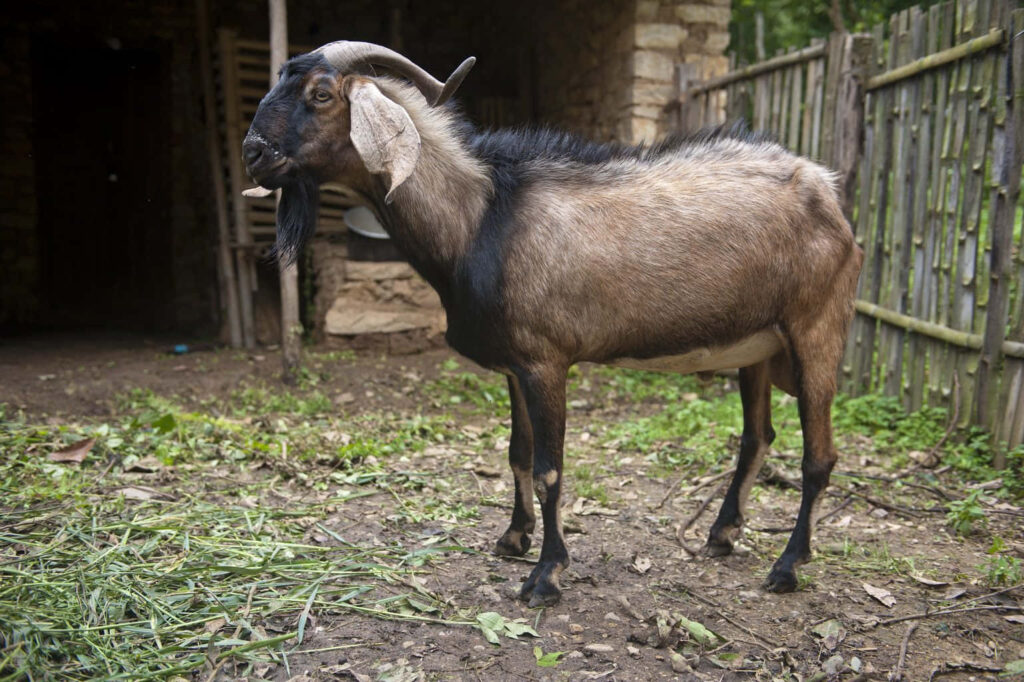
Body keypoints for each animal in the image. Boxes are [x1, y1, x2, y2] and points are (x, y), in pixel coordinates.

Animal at [242, 42, 864, 607]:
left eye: (321, 94)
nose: (252, 152)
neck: (480, 219)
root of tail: (826, 187)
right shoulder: (513, 364)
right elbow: (516, 452)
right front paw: (513, 539)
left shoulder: (546, 362)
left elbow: (549, 470)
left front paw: (546, 576)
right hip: (756, 347)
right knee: (757, 437)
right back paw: (722, 534)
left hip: (816, 327)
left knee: (819, 456)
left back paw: (787, 566)